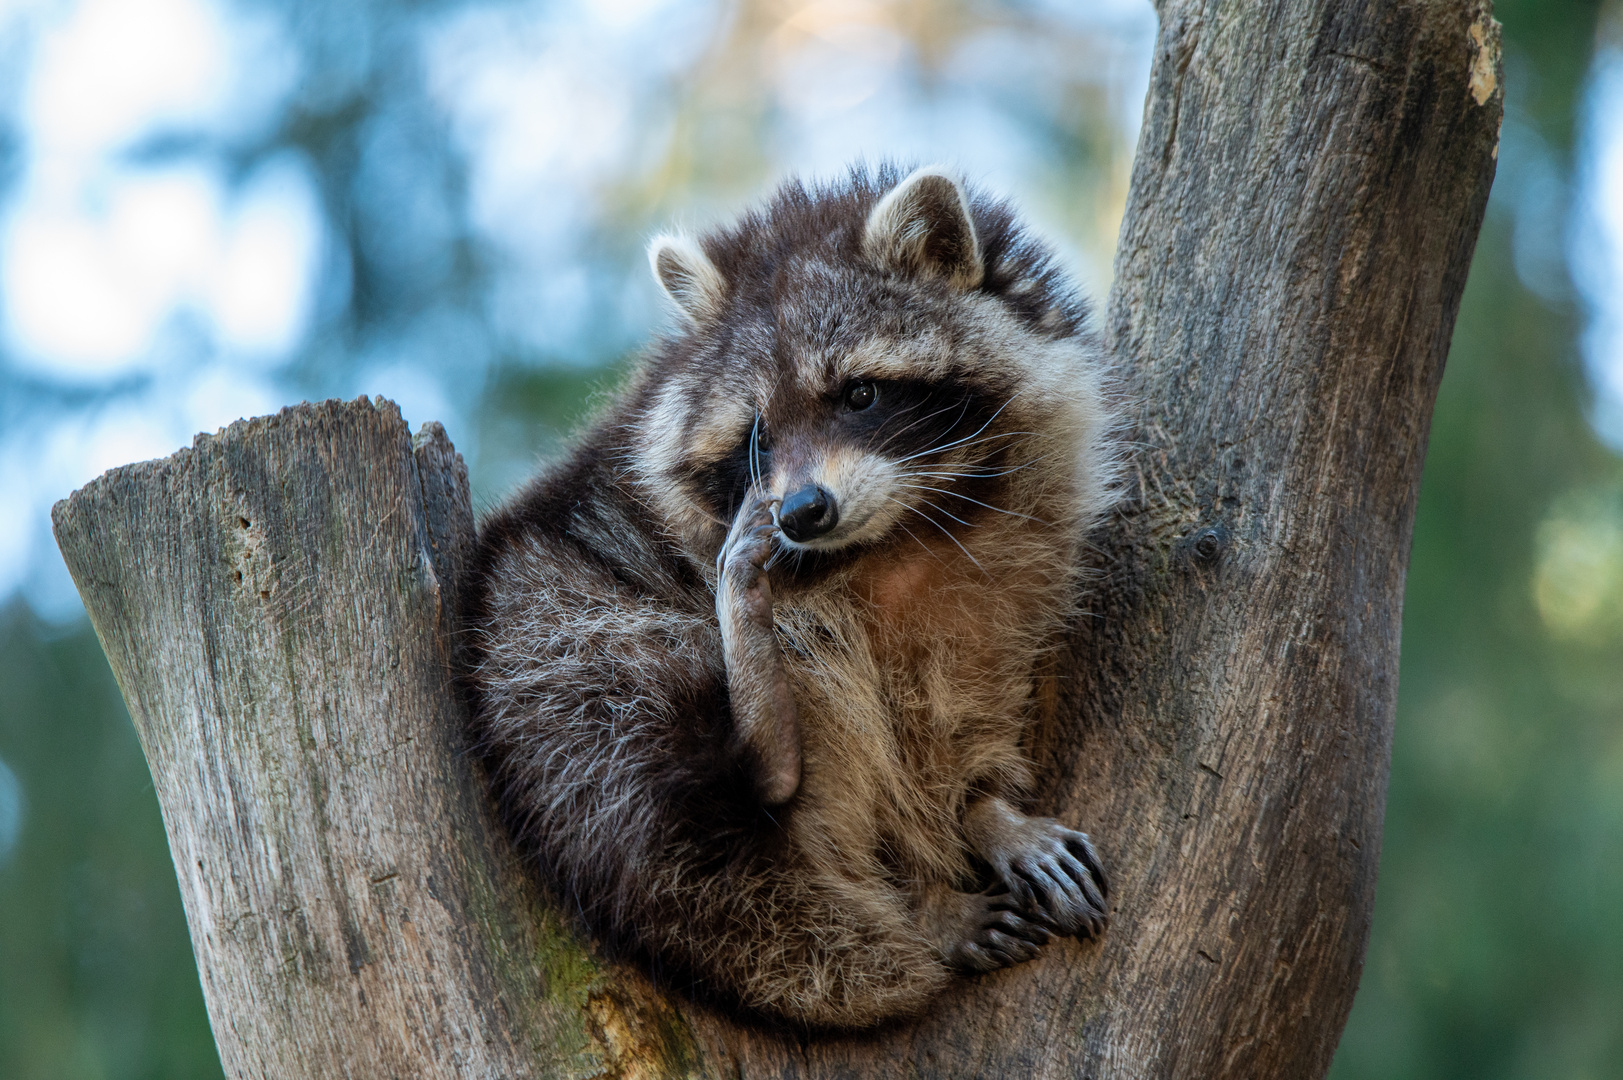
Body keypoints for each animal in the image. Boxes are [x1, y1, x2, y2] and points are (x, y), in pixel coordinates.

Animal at [457, 164, 1116, 1026]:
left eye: (859, 394)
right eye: (756, 435)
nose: (804, 511)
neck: (897, 535)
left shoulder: (1018, 556)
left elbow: (967, 701)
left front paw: (984, 808)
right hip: (542, 643)